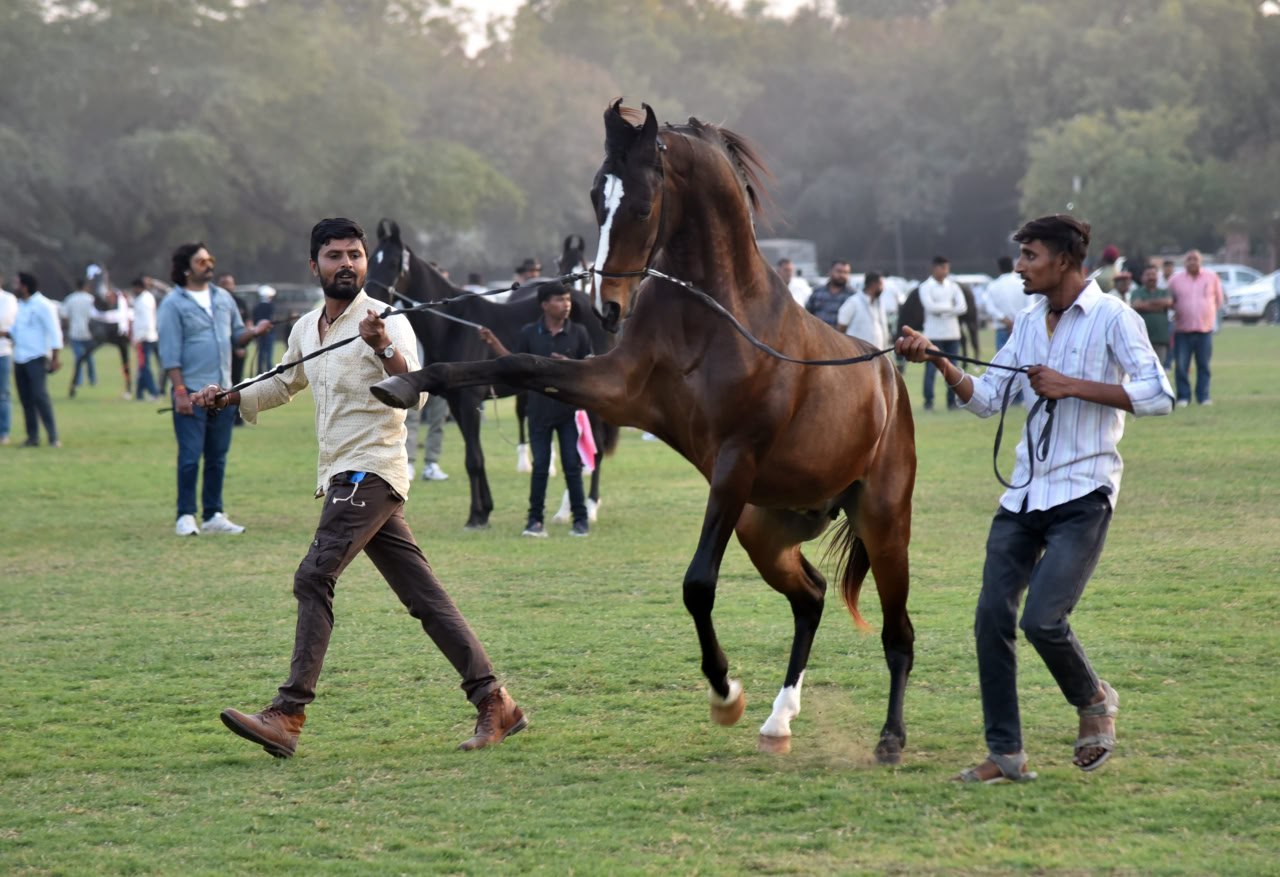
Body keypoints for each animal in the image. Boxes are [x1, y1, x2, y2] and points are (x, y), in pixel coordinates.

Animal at [366, 222, 619, 530]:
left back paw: (588, 507)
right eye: (370, 258)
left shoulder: (468, 401)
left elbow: (473, 459)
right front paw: (484, 510)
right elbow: (476, 457)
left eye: (392, 262)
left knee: (594, 450)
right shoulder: (456, 403)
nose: (371, 297)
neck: (454, 326)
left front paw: (476, 516)